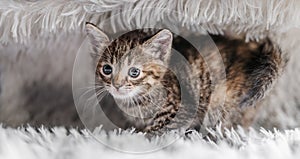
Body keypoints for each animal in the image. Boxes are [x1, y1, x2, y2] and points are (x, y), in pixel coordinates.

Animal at [85, 22, 286, 134]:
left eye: (134, 72)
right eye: (107, 69)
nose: (117, 85)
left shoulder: (183, 108)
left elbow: (155, 130)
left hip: (222, 100)